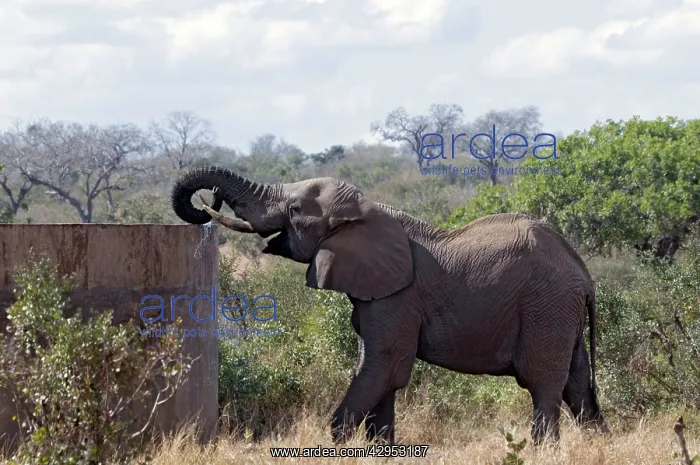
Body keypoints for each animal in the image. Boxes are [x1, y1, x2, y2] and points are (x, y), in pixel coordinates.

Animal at [170, 166, 610, 445]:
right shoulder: (375, 293)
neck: (368, 211)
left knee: (544, 385)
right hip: (561, 313)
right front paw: (381, 449)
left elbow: (382, 364)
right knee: (578, 388)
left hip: (547, 307)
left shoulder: (396, 297)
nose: (211, 198)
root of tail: (584, 276)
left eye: (295, 209)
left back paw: (543, 450)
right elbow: (381, 371)